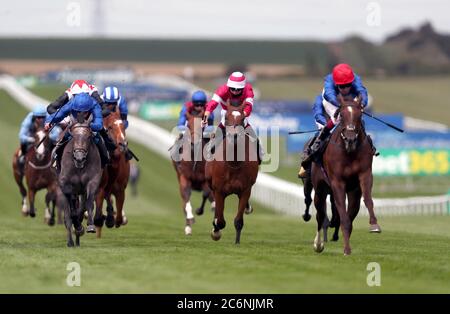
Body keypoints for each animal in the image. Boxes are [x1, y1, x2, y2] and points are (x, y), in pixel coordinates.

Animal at [57, 114, 102, 247]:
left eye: (88, 136)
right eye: (73, 136)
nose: (79, 158)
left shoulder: (93, 180)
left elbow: (88, 203)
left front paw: (89, 226)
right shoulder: (65, 184)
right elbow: (71, 213)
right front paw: (77, 228)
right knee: (68, 215)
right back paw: (71, 241)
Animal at [94, 106, 130, 237]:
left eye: (123, 125)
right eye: (109, 127)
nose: (122, 144)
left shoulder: (119, 188)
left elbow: (118, 213)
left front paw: (112, 218)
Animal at [171, 105, 215, 236]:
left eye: (202, 124)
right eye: (189, 124)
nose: (194, 142)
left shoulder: (205, 180)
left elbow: (207, 193)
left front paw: (200, 210)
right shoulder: (184, 177)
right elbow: (186, 196)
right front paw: (190, 219)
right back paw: (188, 226)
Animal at [206, 100, 258, 243]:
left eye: (242, 118)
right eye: (226, 117)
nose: (234, 136)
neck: (233, 163)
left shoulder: (245, 190)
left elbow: (238, 220)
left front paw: (237, 242)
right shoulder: (219, 190)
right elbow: (220, 221)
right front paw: (215, 231)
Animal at [312, 95, 380, 255]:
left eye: (360, 115)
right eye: (341, 115)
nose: (350, 139)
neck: (349, 152)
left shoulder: (364, 175)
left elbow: (367, 200)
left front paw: (374, 224)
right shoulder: (337, 182)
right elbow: (342, 214)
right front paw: (347, 249)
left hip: (353, 192)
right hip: (320, 189)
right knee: (320, 215)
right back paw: (318, 244)